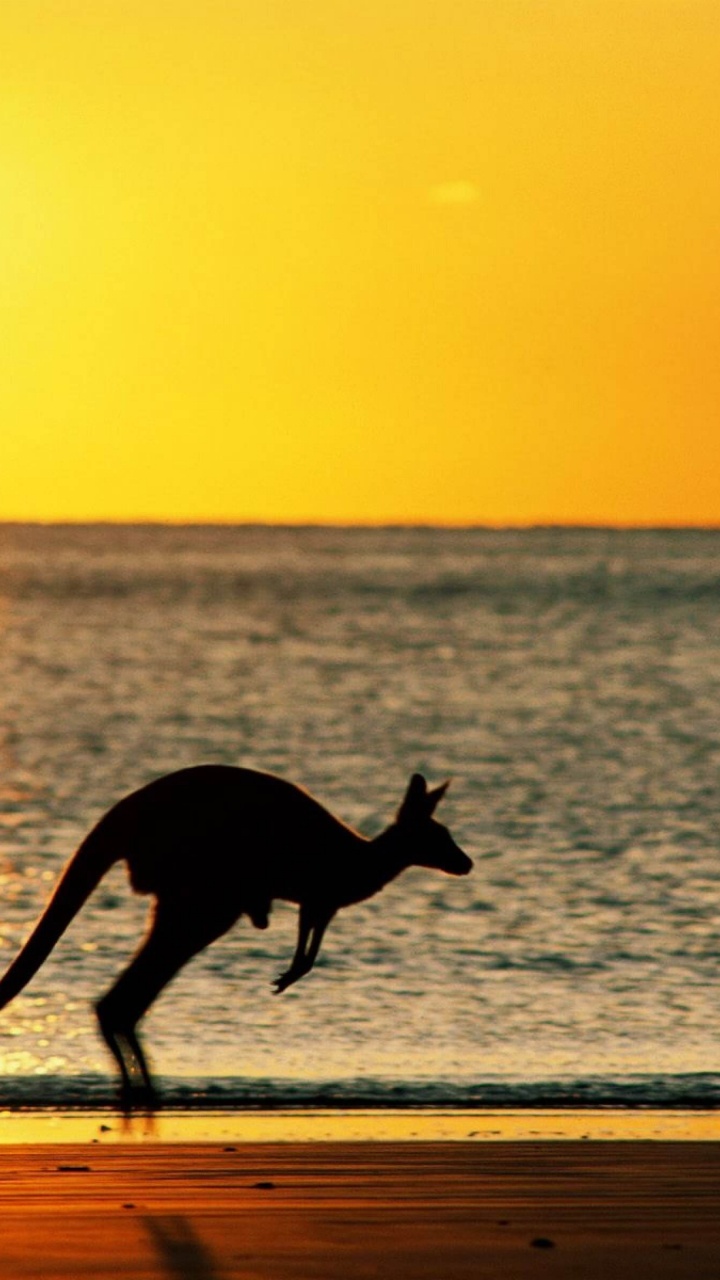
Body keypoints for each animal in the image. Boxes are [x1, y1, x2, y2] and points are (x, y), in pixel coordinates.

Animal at [0, 766, 472, 1112]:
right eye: (439, 838)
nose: (467, 864)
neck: (361, 859)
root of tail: (124, 814)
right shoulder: (319, 894)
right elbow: (309, 936)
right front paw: (289, 973)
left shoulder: (321, 902)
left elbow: (311, 935)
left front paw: (290, 972)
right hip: (206, 888)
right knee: (126, 997)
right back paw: (144, 1096)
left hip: (193, 896)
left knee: (122, 1001)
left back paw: (141, 1094)